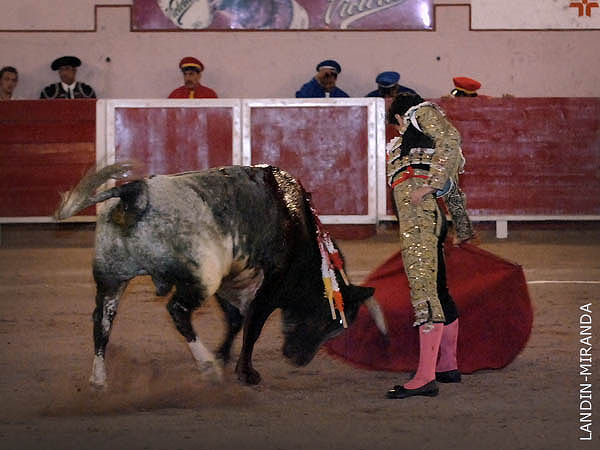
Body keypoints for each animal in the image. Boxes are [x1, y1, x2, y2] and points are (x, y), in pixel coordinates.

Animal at [56, 163, 384, 388]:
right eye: (328, 320)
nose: (298, 360)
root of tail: (134, 193)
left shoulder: (232, 281)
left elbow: (235, 321)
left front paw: (224, 358)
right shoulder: (267, 286)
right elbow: (252, 325)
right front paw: (244, 372)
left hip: (111, 279)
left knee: (102, 323)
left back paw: (99, 381)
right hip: (200, 278)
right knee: (177, 311)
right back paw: (207, 368)